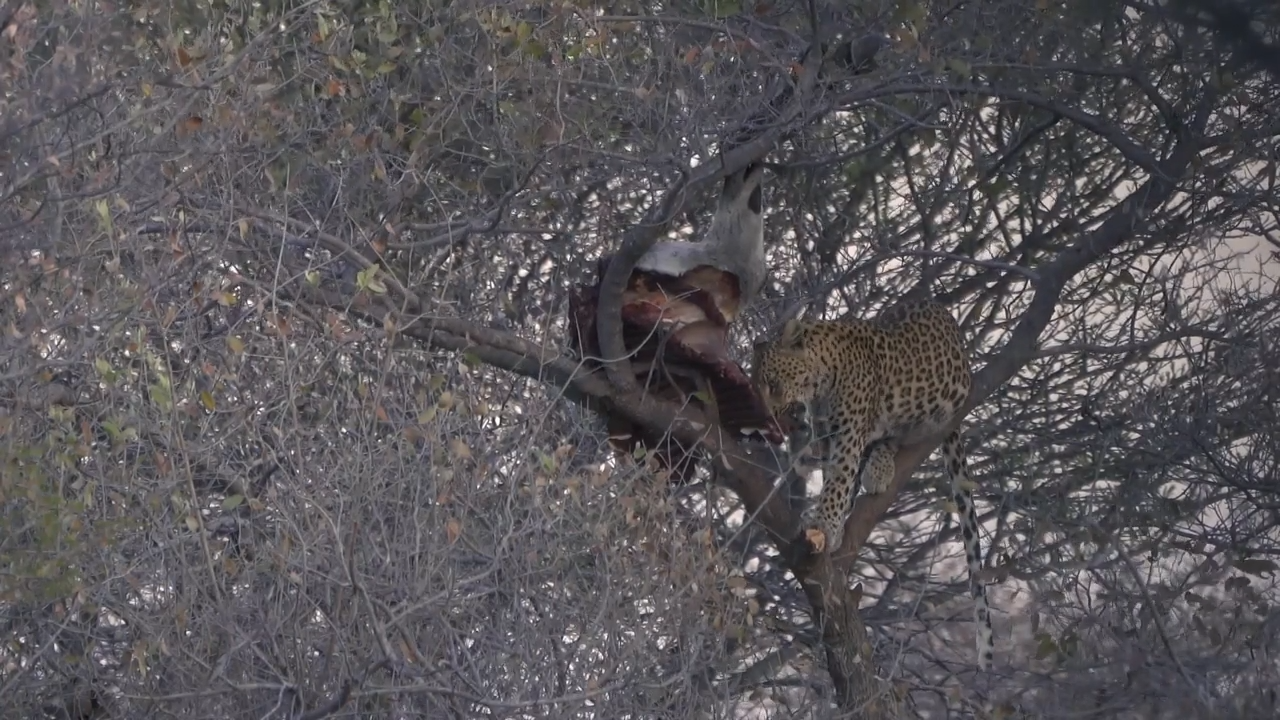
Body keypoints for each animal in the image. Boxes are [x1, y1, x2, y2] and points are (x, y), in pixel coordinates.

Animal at [750, 301, 994, 670]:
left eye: (774, 384)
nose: (766, 418)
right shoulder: (827, 436)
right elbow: (833, 479)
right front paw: (832, 523)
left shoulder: (848, 436)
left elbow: (837, 483)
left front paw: (826, 526)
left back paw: (878, 468)